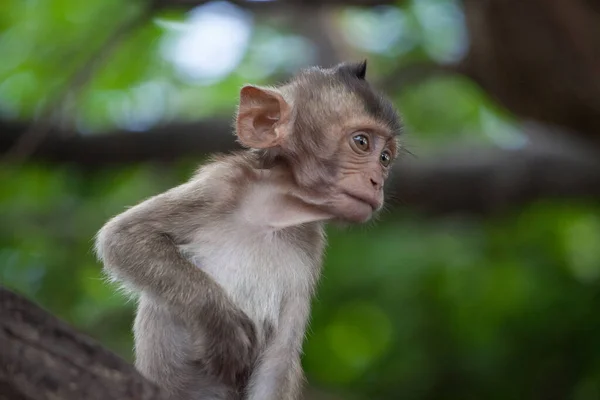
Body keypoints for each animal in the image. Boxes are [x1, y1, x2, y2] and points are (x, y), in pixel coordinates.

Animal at [95, 60, 404, 400]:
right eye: (361, 142)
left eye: (385, 158)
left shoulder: (311, 247)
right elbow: (124, 238)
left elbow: (279, 359)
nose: (377, 182)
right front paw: (222, 325)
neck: (273, 211)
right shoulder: (221, 184)